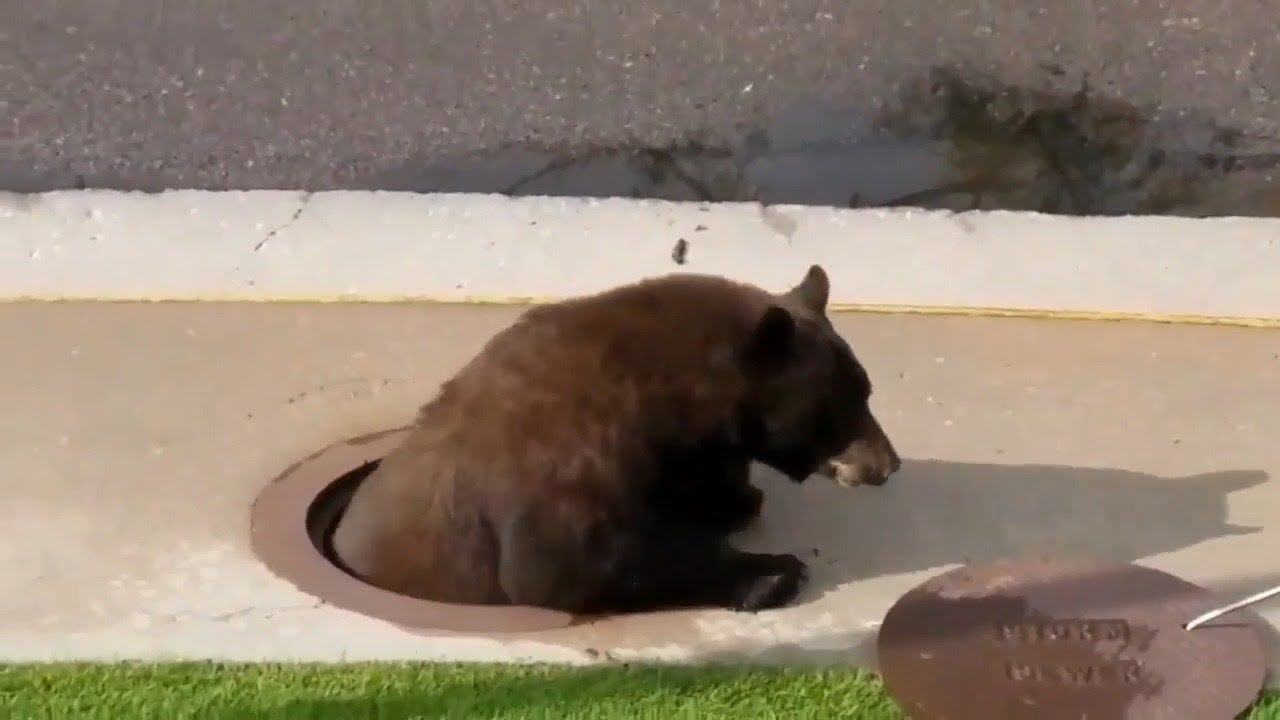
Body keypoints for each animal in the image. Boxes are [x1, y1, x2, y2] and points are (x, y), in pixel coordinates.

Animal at [327, 264, 900, 615]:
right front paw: (776, 571)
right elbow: (568, 561)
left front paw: (732, 498)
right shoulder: (571, 452)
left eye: (866, 390)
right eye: (841, 405)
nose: (888, 464)